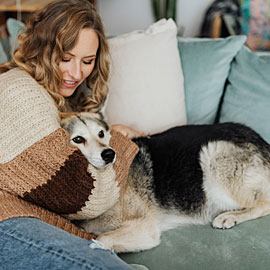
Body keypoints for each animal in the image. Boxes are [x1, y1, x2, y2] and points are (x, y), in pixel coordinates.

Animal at [60, 113, 270, 254]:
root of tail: (263, 142)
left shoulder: (145, 229)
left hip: (213, 154)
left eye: (101, 134)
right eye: (78, 139)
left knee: (263, 204)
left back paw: (229, 217)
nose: (110, 154)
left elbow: (102, 238)